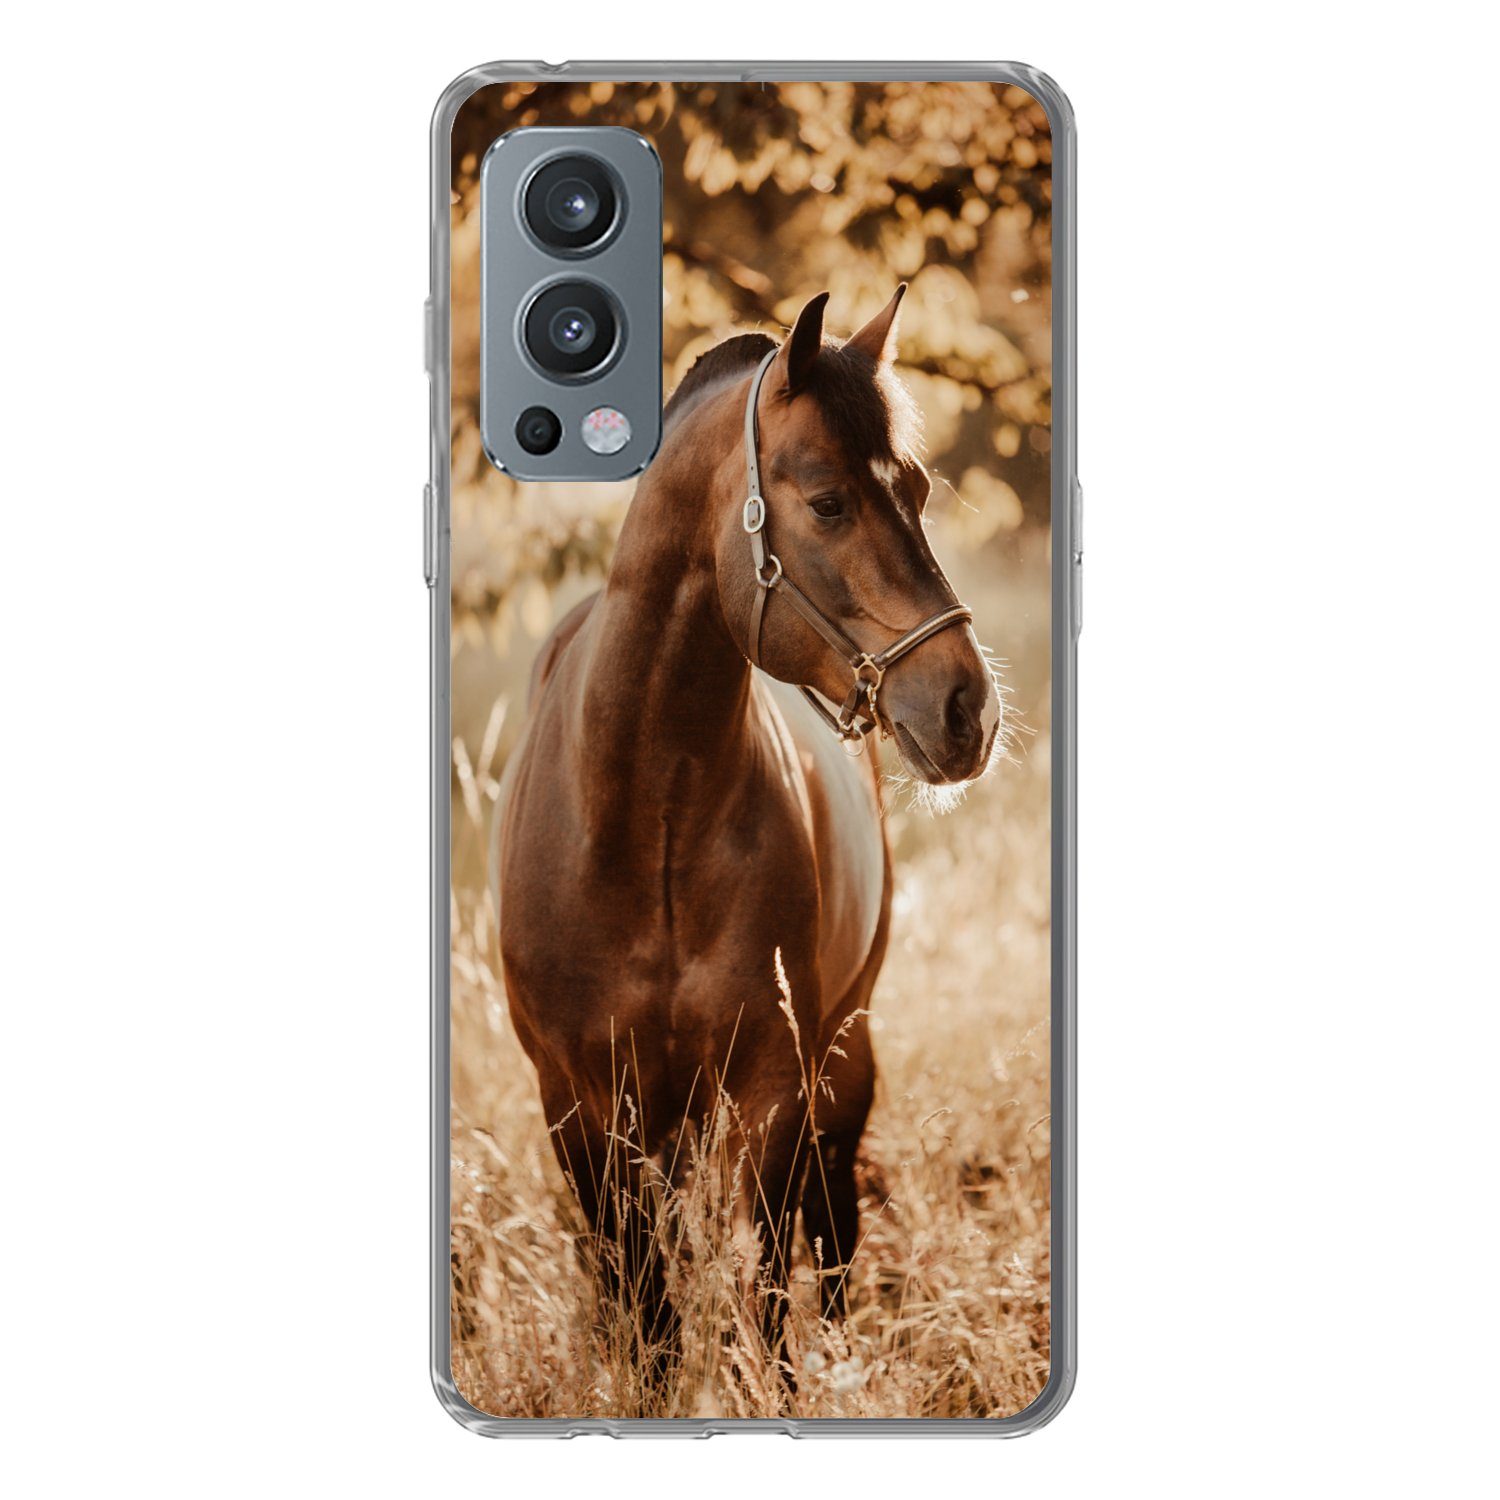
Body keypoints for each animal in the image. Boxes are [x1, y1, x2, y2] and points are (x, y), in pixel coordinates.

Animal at [490, 285, 1002, 1384]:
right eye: (828, 503)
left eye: (919, 488)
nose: (967, 710)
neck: (644, 819)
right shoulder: (579, 1104)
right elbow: (646, 1314)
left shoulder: (772, 1087)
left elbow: (767, 1299)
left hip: (841, 1064)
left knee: (832, 1235)